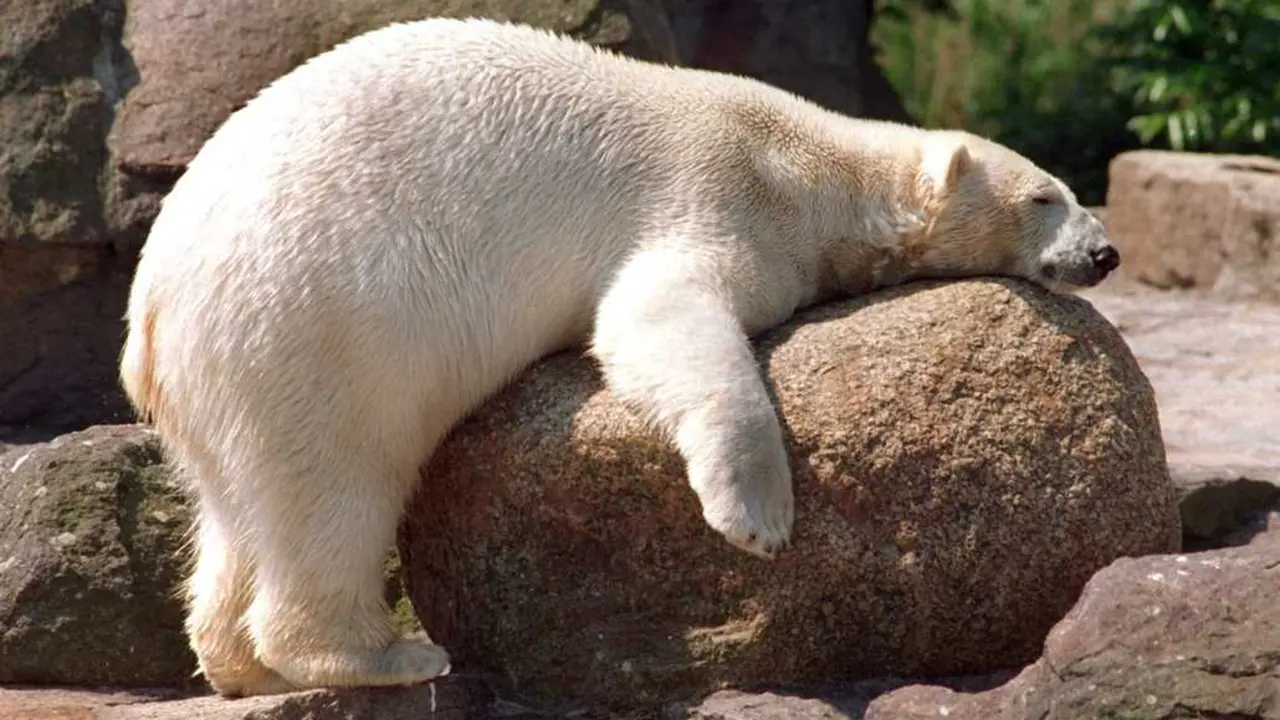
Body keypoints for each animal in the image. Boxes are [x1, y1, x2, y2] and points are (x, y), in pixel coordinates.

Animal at [119, 17, 1120, 697]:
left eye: (1073, 192)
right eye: (1045, 194)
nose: (1106, 252)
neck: (811, 164)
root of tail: (151, 315)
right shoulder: (717, 187)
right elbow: (655, 319)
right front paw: (758, 522)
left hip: (231, 378)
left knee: (239, 510)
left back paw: (239, 665)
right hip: (312, 331)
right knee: (336, 489)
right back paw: (384, 653)